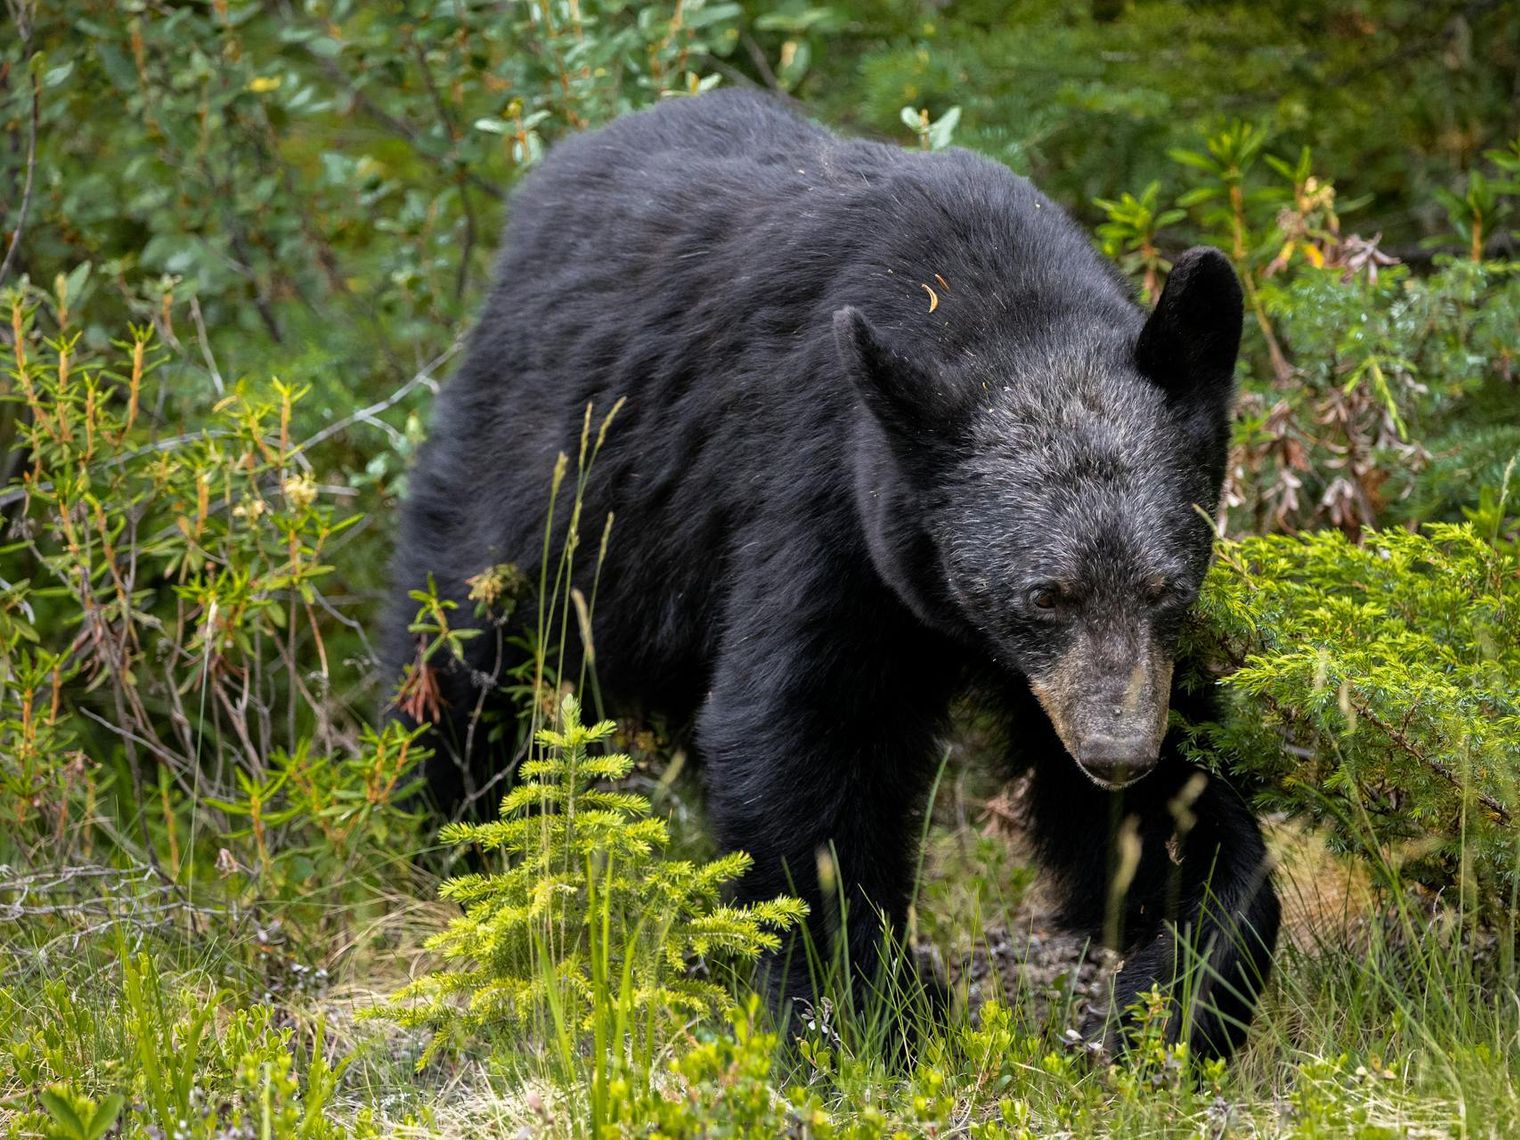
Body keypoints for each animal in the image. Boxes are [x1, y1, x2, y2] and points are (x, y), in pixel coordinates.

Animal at [385, 89, 1280, 1061]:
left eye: (1167, 587)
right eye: (1045, 595)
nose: (1116, 753)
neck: (993, 301)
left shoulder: (1102, 667)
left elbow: (1168, 804)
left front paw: (1177, 986)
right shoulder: (824, 497)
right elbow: (804, 730)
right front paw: (865, 1013)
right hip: (554, 479)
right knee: (464, 653)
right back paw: (461, 840)